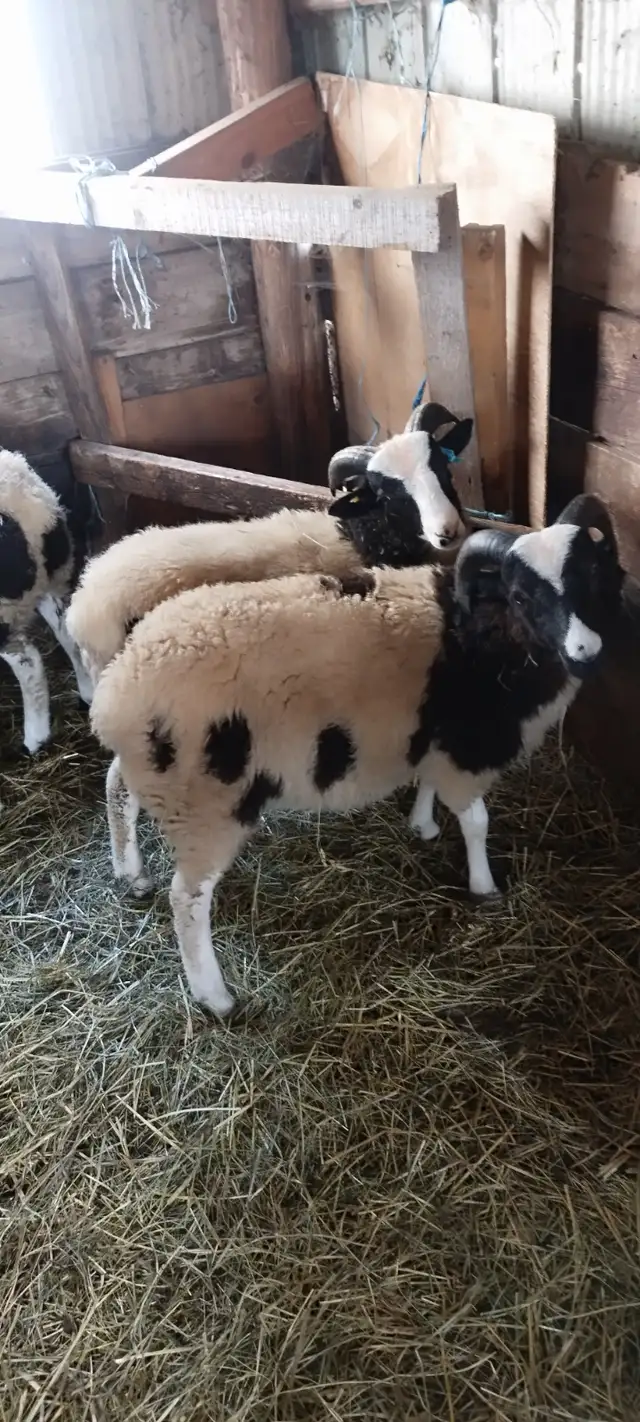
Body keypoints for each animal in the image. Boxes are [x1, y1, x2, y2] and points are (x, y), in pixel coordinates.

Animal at [89, 493, 624, 1017]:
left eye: (591, 575)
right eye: (521, 596)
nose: (587, 650)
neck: (486, 638)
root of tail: (117, 690)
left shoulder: (432, 739)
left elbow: (427, 782)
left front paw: (423, 825)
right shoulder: (465, 754)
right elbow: (476, 823)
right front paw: (485, 888)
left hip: (160, 773)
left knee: (118, 786)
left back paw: (130, 872)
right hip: (206, 804)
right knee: (188, 899)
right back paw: (217, 999)